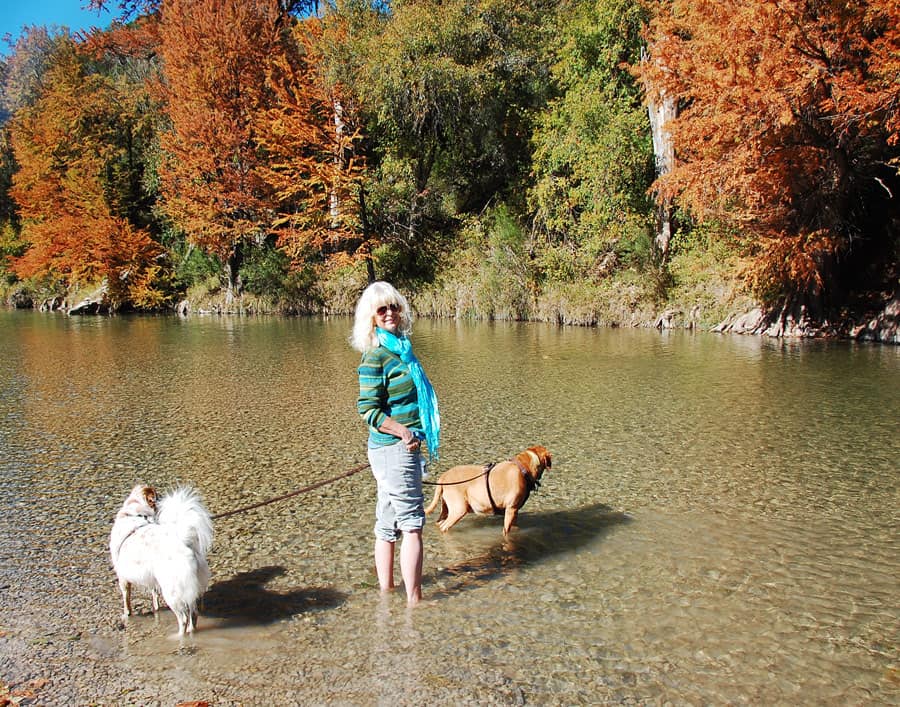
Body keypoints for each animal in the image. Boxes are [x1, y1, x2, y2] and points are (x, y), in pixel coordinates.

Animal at [109, 486, 213, 636]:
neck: (134, 514)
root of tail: (184, 544)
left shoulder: (123, 577)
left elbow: (126, 601)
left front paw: (127, 615)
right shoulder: (152, 579)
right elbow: (154, 597)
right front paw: (156, 609)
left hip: (172, 593)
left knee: (183, 618)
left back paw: (178, 635)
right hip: (191, 588)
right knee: (193, 614)